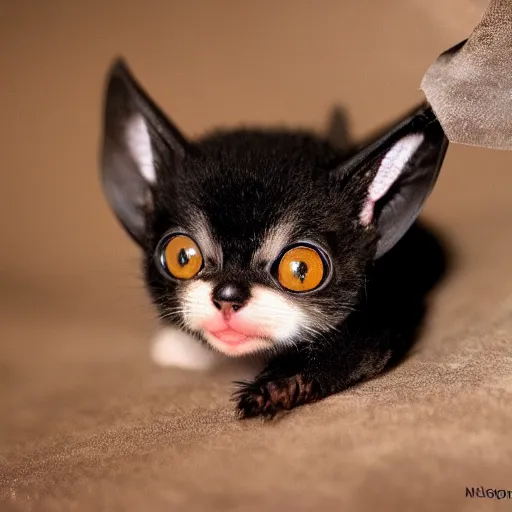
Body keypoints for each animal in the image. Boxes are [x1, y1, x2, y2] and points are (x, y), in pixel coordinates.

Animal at [100, 60, 448, 420]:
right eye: (182, 258)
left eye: (301, 270)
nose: (228, 295)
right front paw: (183, 345)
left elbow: (355, 347)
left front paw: (272, 389)